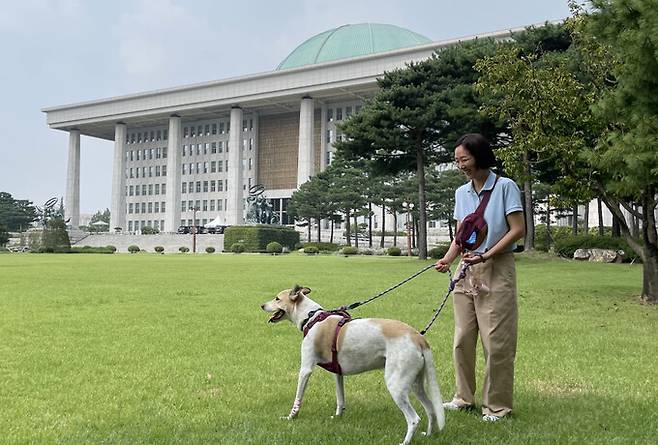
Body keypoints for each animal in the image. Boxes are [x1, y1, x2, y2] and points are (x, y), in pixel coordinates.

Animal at [258, 284, 444, 444]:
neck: (311, 318)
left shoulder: (305, 370)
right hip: (415, 384)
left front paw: (291, 417)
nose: (261, 305)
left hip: (396, 385)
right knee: (431, 409)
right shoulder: (337, 373)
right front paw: (338, 417)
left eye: (277, 298)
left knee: (414, 419)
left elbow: (298, 398)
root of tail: (418, 338)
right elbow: (340, 399)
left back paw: (405, 441)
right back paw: (428, 435)